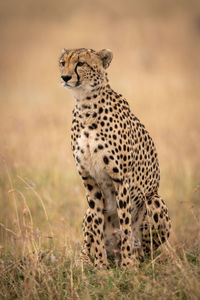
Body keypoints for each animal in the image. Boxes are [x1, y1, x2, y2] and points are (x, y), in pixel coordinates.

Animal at [58, 48, 171, 268]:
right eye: (62, 62)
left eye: (81, 63)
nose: (65, 77)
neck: (86, 106)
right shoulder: (89, 180)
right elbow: (97, 226)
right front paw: (100, 266)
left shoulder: (121, 179)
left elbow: (125, 223)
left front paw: (128, 266)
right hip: (87, 213)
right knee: (88, 237)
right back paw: (86, 261)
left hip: (155, 200)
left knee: (145, 248)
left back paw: (135, 258)